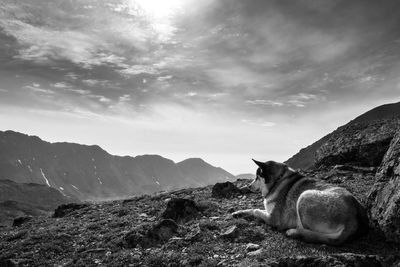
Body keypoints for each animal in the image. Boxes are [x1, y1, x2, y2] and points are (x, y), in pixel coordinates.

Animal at [231, 160, 368, 246]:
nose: (248, 186)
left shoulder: (273, 218)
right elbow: (251, 209)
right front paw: (238, 212)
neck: (277, 181)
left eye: (257, 177)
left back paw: (294, 231)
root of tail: (353, 219)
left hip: (304, 196)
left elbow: (256, 210)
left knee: (313, 233)